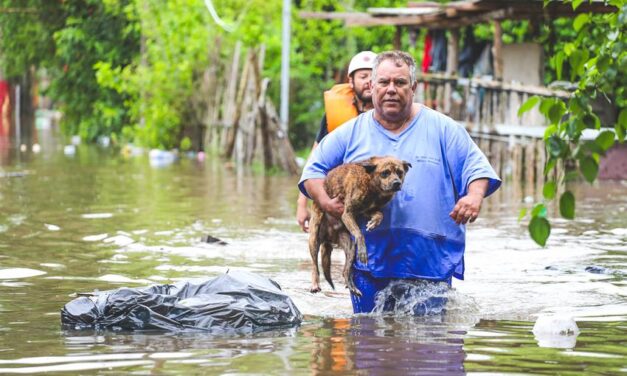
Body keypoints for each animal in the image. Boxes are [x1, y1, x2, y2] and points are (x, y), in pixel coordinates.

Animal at [310, 156, 412, 296]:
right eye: (385, 173)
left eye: (399, 172)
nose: (397, 183)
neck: (373, 187)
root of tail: (329, 237)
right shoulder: (347, 213)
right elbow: (359, 233)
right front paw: (363, 248)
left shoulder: (367, 210)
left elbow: (380, 214)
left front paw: (374, 222)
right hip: (314, 236)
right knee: (315, 266)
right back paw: (315, 284)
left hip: (351, 247)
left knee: (345, 271)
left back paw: (352, 286)